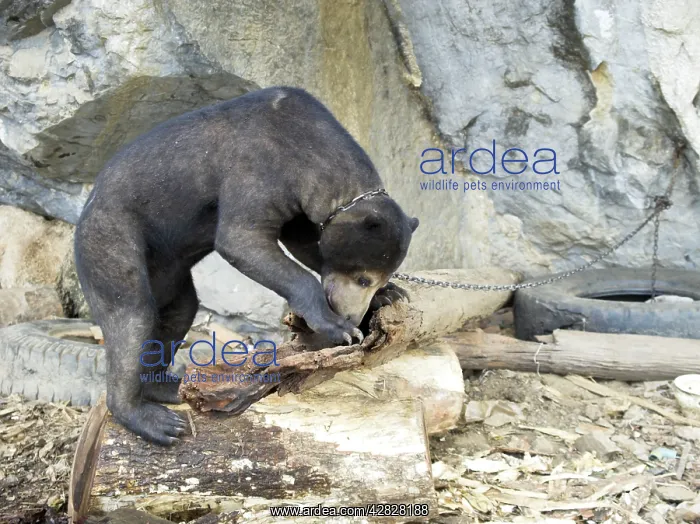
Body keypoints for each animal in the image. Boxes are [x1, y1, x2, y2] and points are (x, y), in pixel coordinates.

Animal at [74, 86, 419, 445]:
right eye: (363, 279)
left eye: (373, 281)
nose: (354, 316)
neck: (310, 152)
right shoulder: (259, 169)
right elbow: (240, 238)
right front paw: (337, 327)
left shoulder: (299, 207)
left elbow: (305, 243)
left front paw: (392, 294)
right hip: (113, 238)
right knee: (132, 316)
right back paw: (157, 422)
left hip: (167, 271)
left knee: (177, 313)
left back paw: (168, 388)